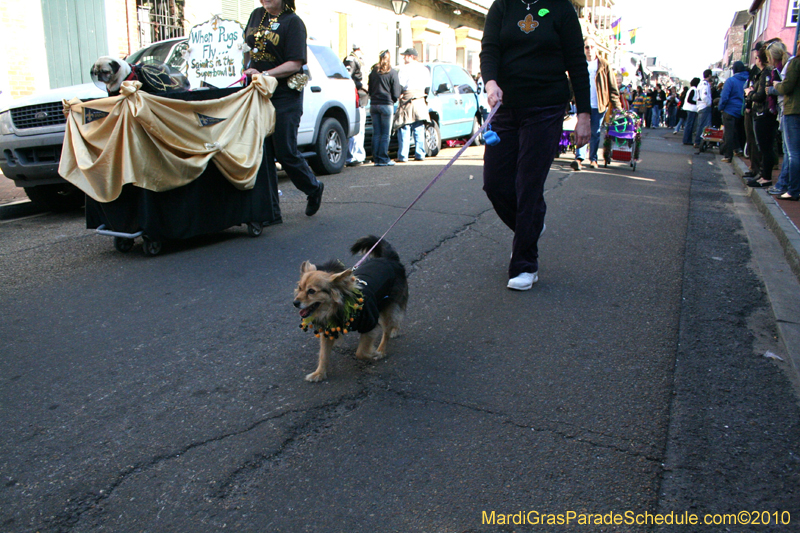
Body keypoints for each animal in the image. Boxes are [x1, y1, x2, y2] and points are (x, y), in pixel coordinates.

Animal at [292, 235, 406, 380]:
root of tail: (389, 259)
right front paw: (319, 373)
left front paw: (373, 353)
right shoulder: (328, 331)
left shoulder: (369, 324)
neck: (338, 307)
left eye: (311, 291)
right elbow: (323, 355)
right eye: (300, 288)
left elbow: (360, 352)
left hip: (388, 307)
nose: (295, 302)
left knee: (388, 328)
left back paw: (381, 349)